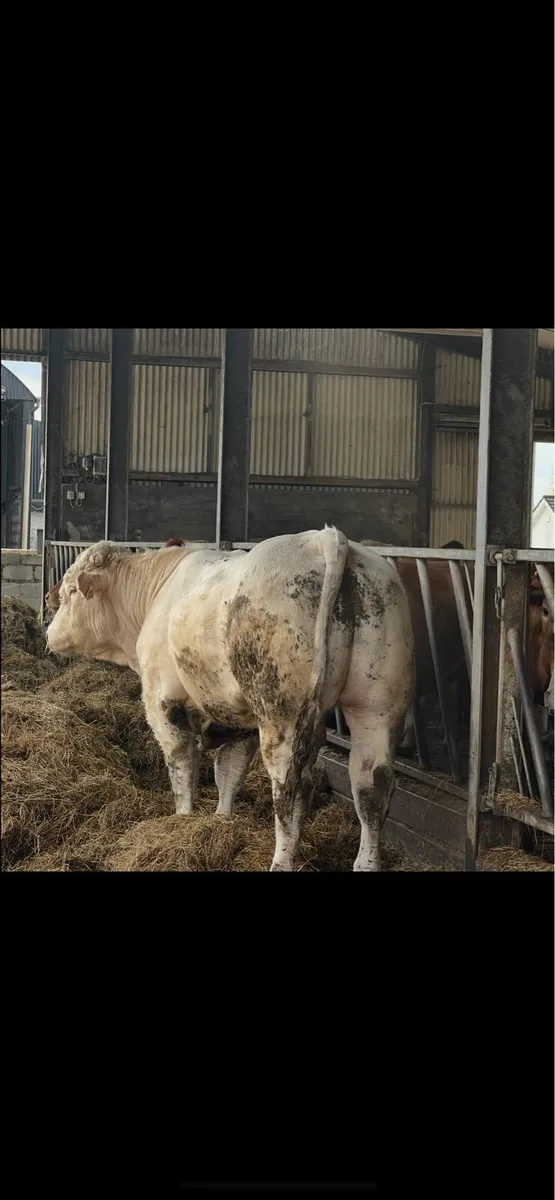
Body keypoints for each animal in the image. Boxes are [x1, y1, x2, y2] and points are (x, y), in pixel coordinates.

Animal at [45, 528, 415, 872]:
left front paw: (183, 819)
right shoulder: (237, 718)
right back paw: (366, 862)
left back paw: (281, 861)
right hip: (377, 705)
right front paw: (221, 820)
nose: (48, 631)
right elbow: (229, 772)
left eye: (70, 592)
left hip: (281, 711)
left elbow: (182, 765)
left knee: (291, 787)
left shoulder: (161, 699)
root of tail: (325, 538)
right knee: (371, 786)